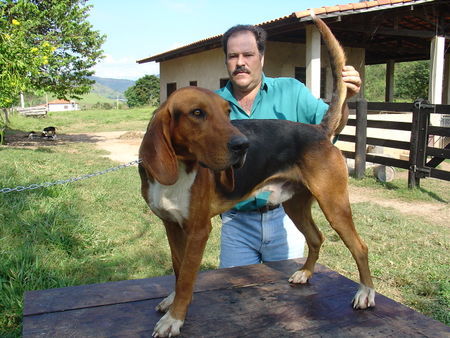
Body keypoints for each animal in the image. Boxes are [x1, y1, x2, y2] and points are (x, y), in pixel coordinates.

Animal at [139, 14, 374, 336]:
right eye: (197, 113)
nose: (243, 146)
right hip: (296, 205)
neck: (182, 167)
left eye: (227, 112)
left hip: (334, 205)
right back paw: (305, 273)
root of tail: (318, 130)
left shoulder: (198, 231)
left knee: (359, 246)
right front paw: (172, 302)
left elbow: (187, 277)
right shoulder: (172, 226)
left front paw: (175, 318)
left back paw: (365, 293)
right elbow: (178, 268)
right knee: (316, 238)